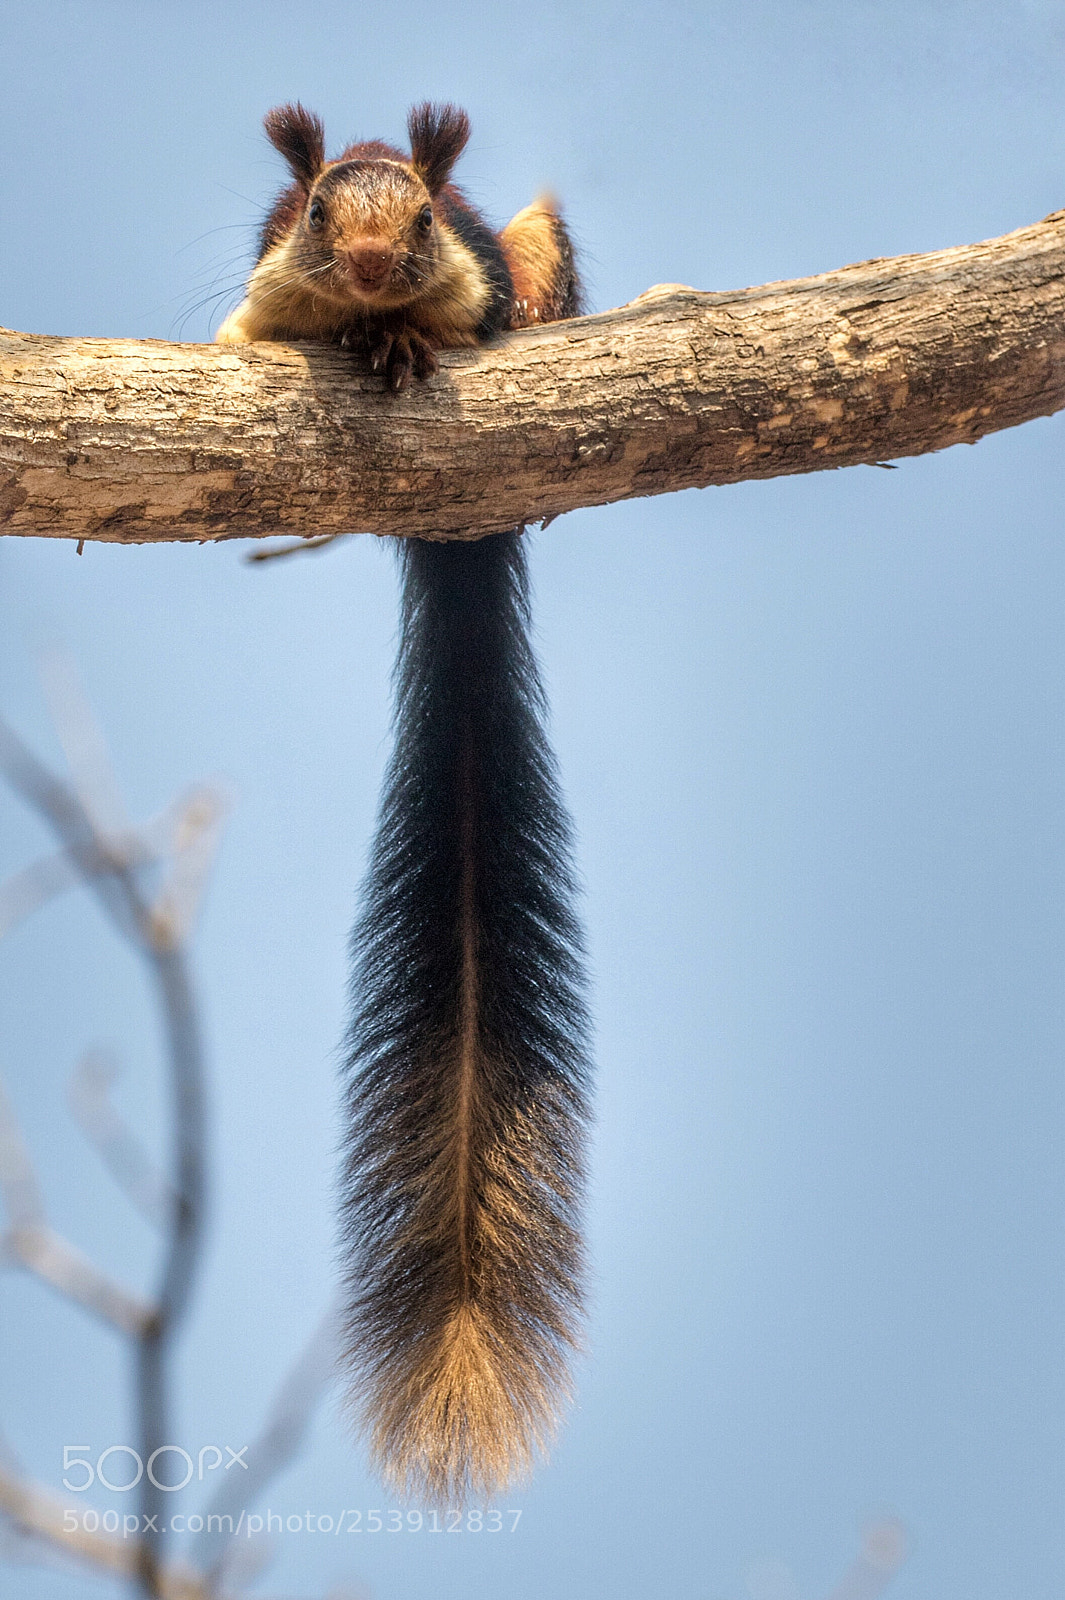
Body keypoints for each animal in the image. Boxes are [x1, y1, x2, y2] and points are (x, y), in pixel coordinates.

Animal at [219, 104, 591, 1504]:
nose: (377, 271)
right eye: (320, 212)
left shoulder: (470, 266)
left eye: (424, 219)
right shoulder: (260, 303)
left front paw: (407, 338)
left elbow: (462, 314)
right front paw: (359, 337)